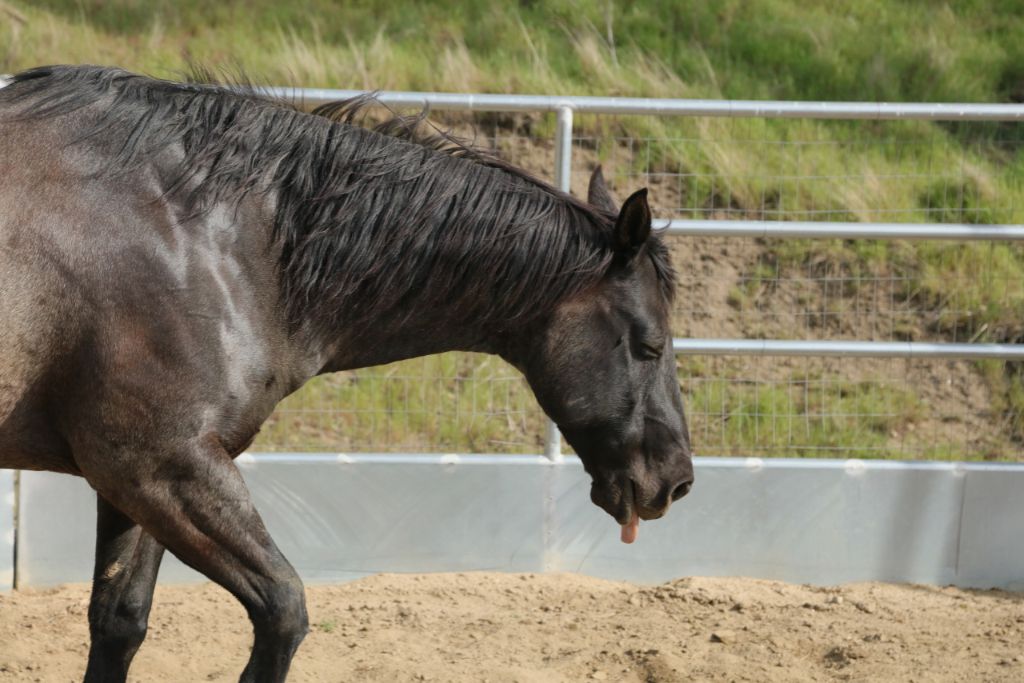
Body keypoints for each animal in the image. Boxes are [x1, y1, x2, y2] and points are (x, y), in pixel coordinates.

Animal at [0, 66, 694, 682]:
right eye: (650, 346)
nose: (677, 481)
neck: (212, 236)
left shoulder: (135, 480)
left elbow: (120, 620)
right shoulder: (160, 465)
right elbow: (283, 610)